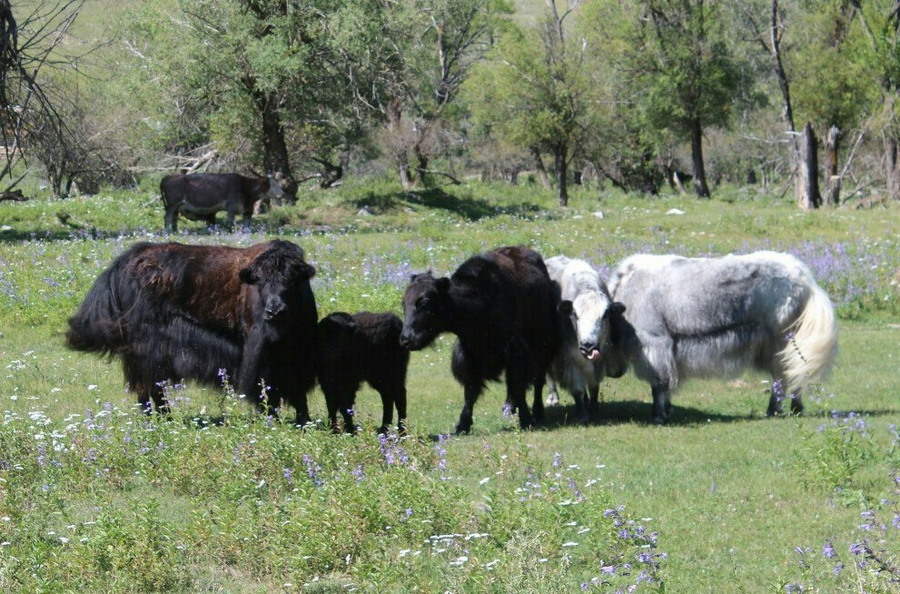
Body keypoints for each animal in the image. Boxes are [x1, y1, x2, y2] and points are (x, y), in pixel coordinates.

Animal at [64, 237, 316, 420]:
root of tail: (124, 264)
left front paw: (303, 421)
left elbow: (297, 389)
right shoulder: (258, 354)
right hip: (144, 350)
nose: (275, 311)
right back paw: (158, 420)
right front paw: (271, 418)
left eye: (292, 280)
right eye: (260, 281)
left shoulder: (299, 352)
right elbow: (266, 386)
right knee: (147, 388)